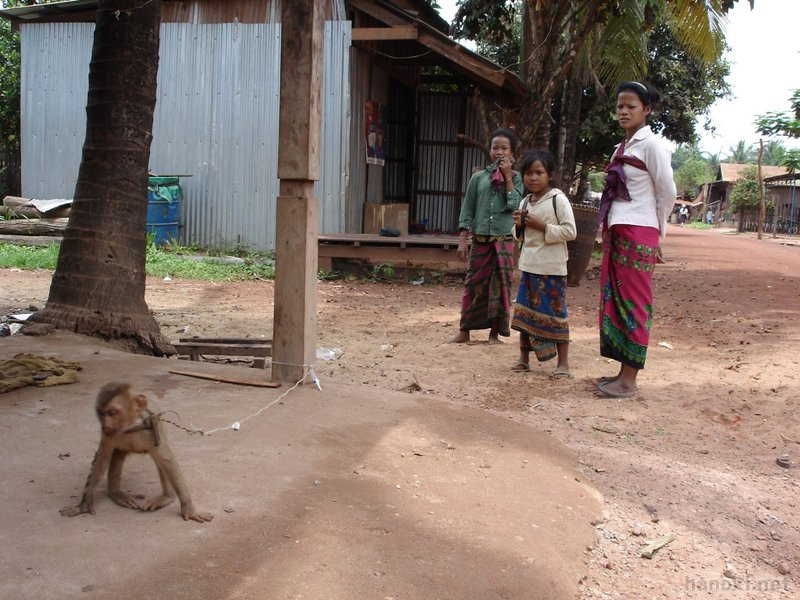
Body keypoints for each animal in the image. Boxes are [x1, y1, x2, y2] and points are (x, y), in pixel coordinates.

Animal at [60, 382, 212, 524]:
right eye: (101, 413)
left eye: (112, 413)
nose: (105, 425)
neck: (130, 428)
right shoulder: (108, 435)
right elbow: (102, 458)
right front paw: (84, 504)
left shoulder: (150, 430)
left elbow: (168, 460)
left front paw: (189, 510)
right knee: (117, 455)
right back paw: (116, 493)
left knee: (160, 461)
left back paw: (166, 497)